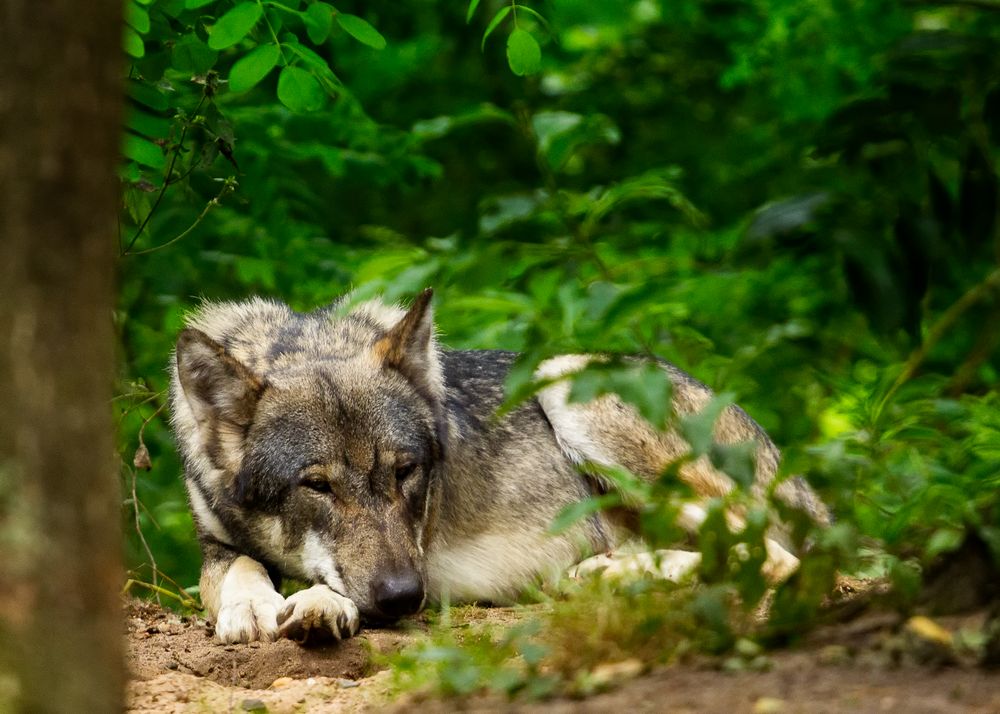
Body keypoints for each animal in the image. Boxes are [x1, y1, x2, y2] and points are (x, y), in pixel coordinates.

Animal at [170, 286, 828, 644]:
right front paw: (254, 606)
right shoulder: (215, 544)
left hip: (567, 379)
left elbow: (329, 583)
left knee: (776, 557)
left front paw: (315, 604)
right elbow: (240, 568)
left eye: (406, 472)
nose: (404, 596)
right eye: (316, 485)